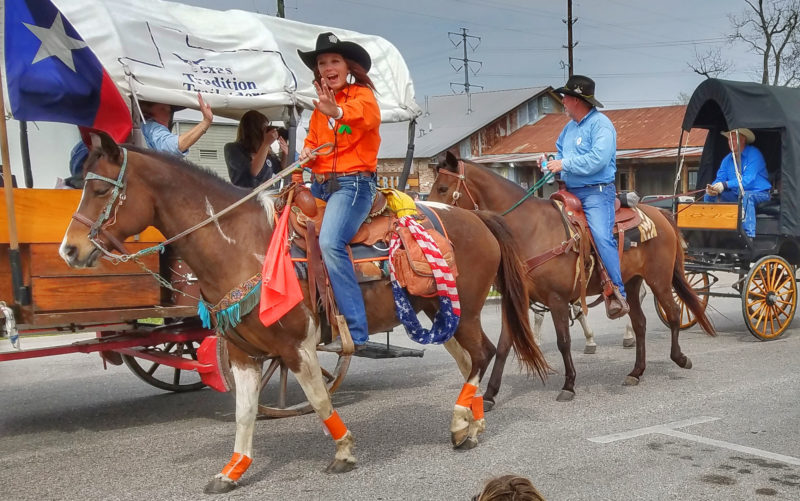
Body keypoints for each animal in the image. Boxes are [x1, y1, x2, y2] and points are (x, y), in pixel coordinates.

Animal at [61, 133, 552, 492]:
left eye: (100, 188)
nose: (70, 250)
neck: (246, 247)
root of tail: (477, 218)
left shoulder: (297, 346)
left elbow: (318, 399)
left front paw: (343, 452)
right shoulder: (242, 353)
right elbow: (244, 412)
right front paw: (232, 471)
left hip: (463, 311)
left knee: (483, 355)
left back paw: (459, 422)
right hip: (438, 313)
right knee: (471, 360)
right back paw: (472, 424)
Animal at [428, 152, 716, 406]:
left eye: (442, 188)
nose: (429, 220)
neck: (530, 229)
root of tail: (661, 214)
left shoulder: (556, 299)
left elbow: (563, 341)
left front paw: (568, 385)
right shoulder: (516, 299)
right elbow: (503, 345)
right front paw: (489, 395)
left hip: (659, 279)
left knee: (674, 312)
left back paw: (680, 358)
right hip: (632, 284)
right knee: (640, 323)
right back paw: (636, 372)